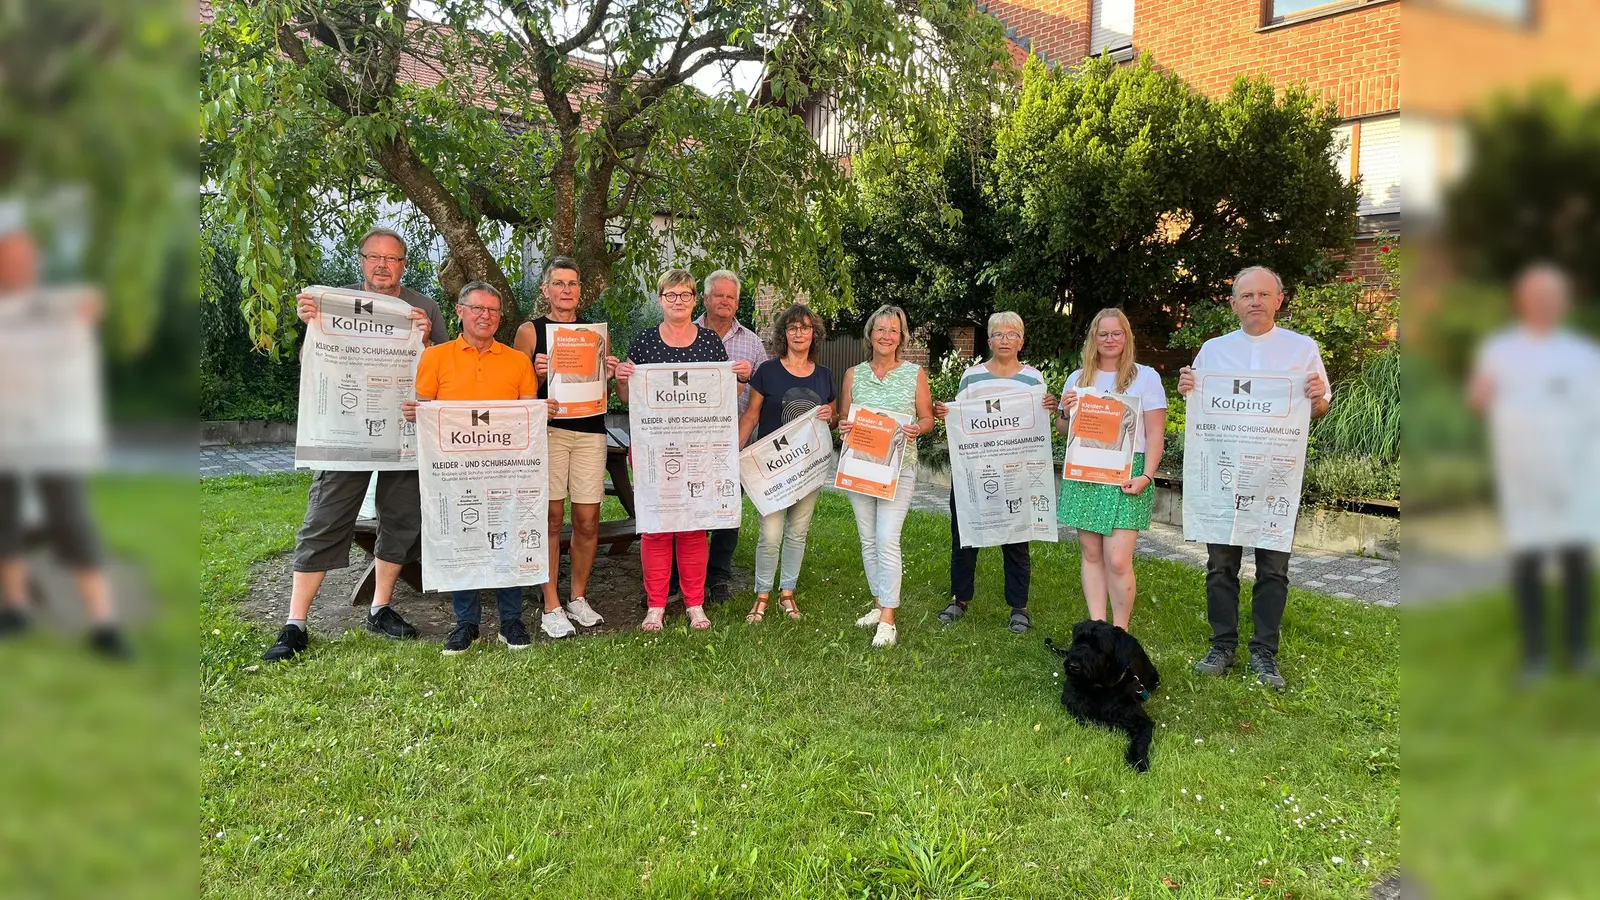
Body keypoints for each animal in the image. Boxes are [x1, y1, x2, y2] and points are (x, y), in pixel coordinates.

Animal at [1043, 614, 1158, 771]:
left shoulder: (1141, 721)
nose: (1073, 665)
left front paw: (1138, 760)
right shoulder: (1075, 706)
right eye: (1079, 641)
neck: (1100, 686)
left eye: (1099, 648)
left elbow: (1140, 741)